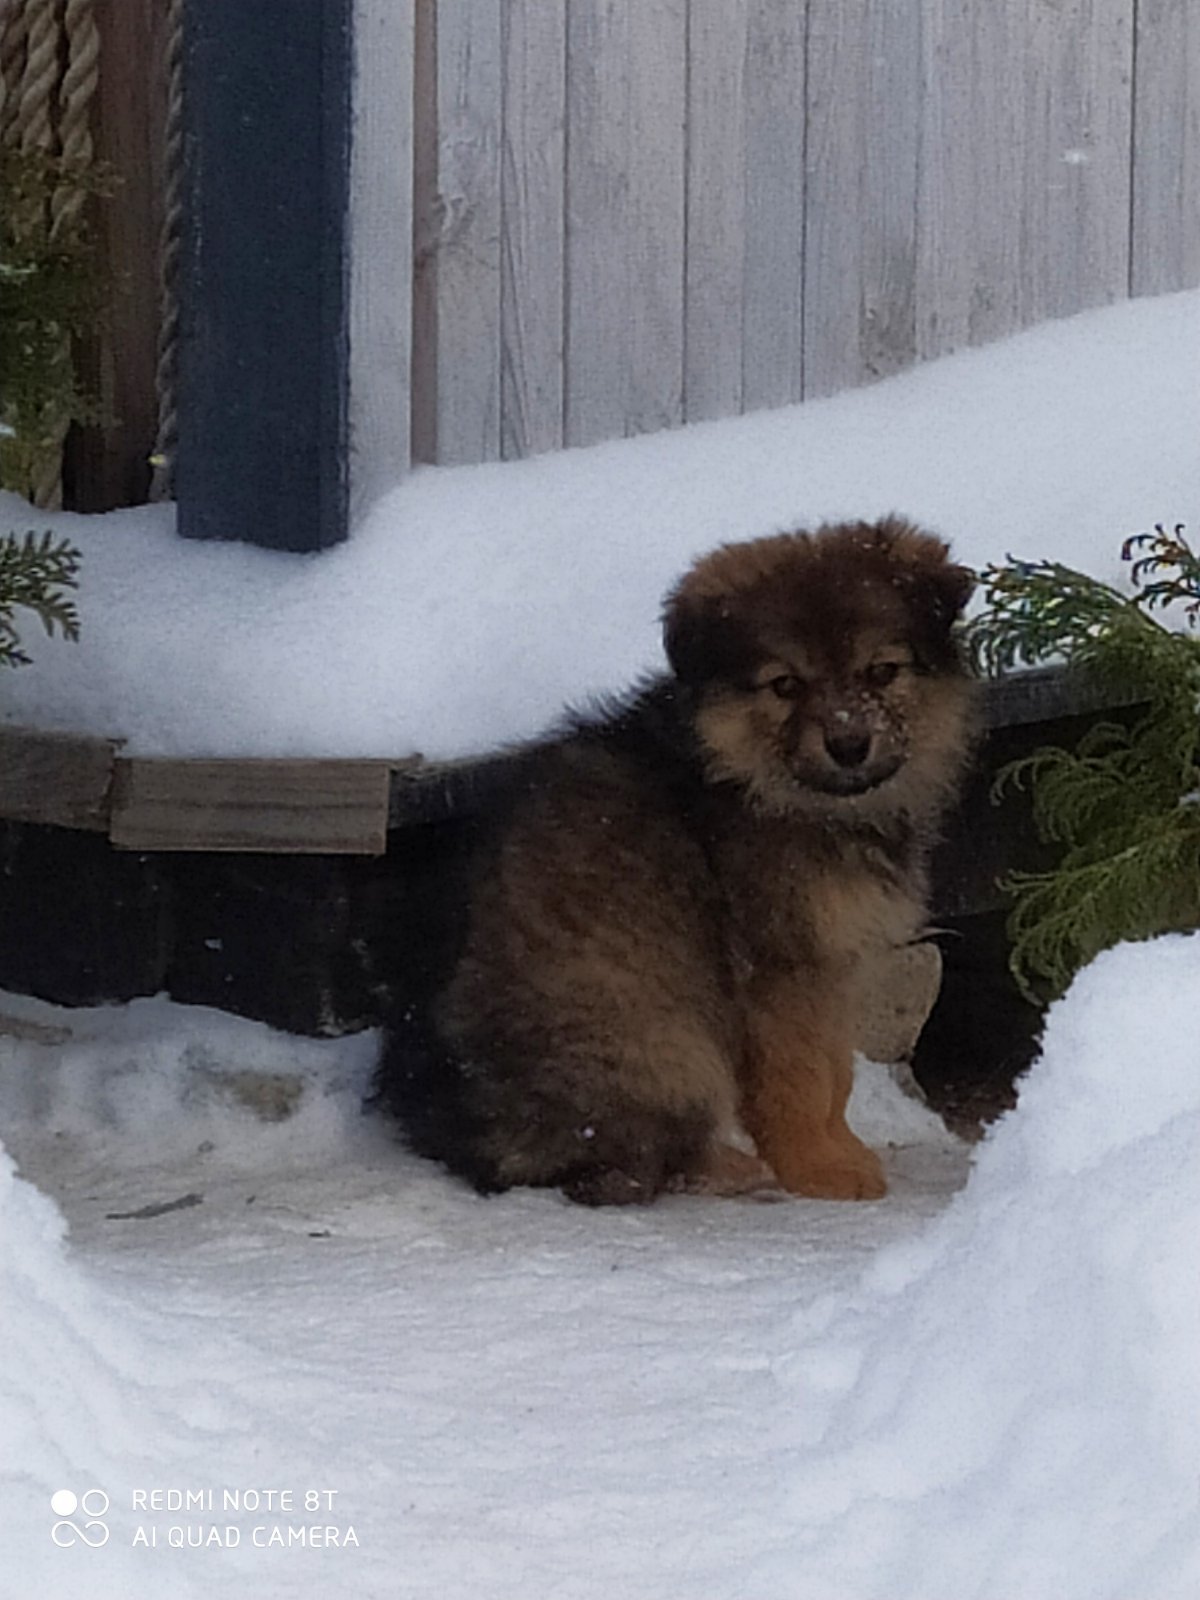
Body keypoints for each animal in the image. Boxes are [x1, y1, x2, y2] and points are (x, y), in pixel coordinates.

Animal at [376, 515, 979, 1203]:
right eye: (785, 685)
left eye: (882, 672)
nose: (849, 744)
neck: (762, 782)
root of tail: (470, 1143)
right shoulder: (778, 968)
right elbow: (803, 1077)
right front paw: (820, 1167)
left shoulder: (828, 964)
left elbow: (836, 1069)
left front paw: (841, 1149)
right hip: (668, 1048)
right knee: (621, 1163)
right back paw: (726, 1167)